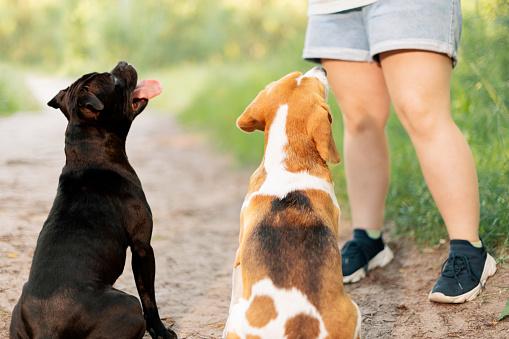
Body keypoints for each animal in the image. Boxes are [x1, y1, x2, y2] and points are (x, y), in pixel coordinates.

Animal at [9, 61, 177, 339]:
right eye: (112, 79)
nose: (122, 63)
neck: (89, 151)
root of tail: (47, 329)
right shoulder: (142, 247)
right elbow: (149, 298)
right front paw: (161, 331)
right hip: (129, 305)